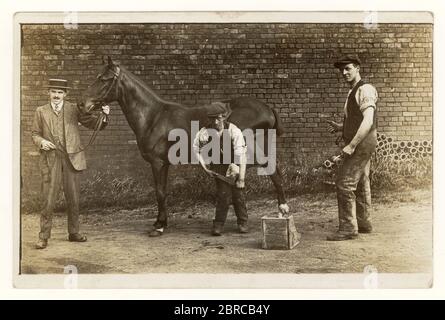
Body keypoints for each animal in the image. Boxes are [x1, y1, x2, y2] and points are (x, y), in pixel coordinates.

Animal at [79, 56, 288, 236]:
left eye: (104, 79)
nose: (82, 104)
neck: (153, 116)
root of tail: (268, 109)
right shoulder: (164, 163)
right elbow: (162, 191)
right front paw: (160, 222)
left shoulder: (157, 163)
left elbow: (160, 192)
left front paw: (159, 226)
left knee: (275, 175)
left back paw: (282, 210)